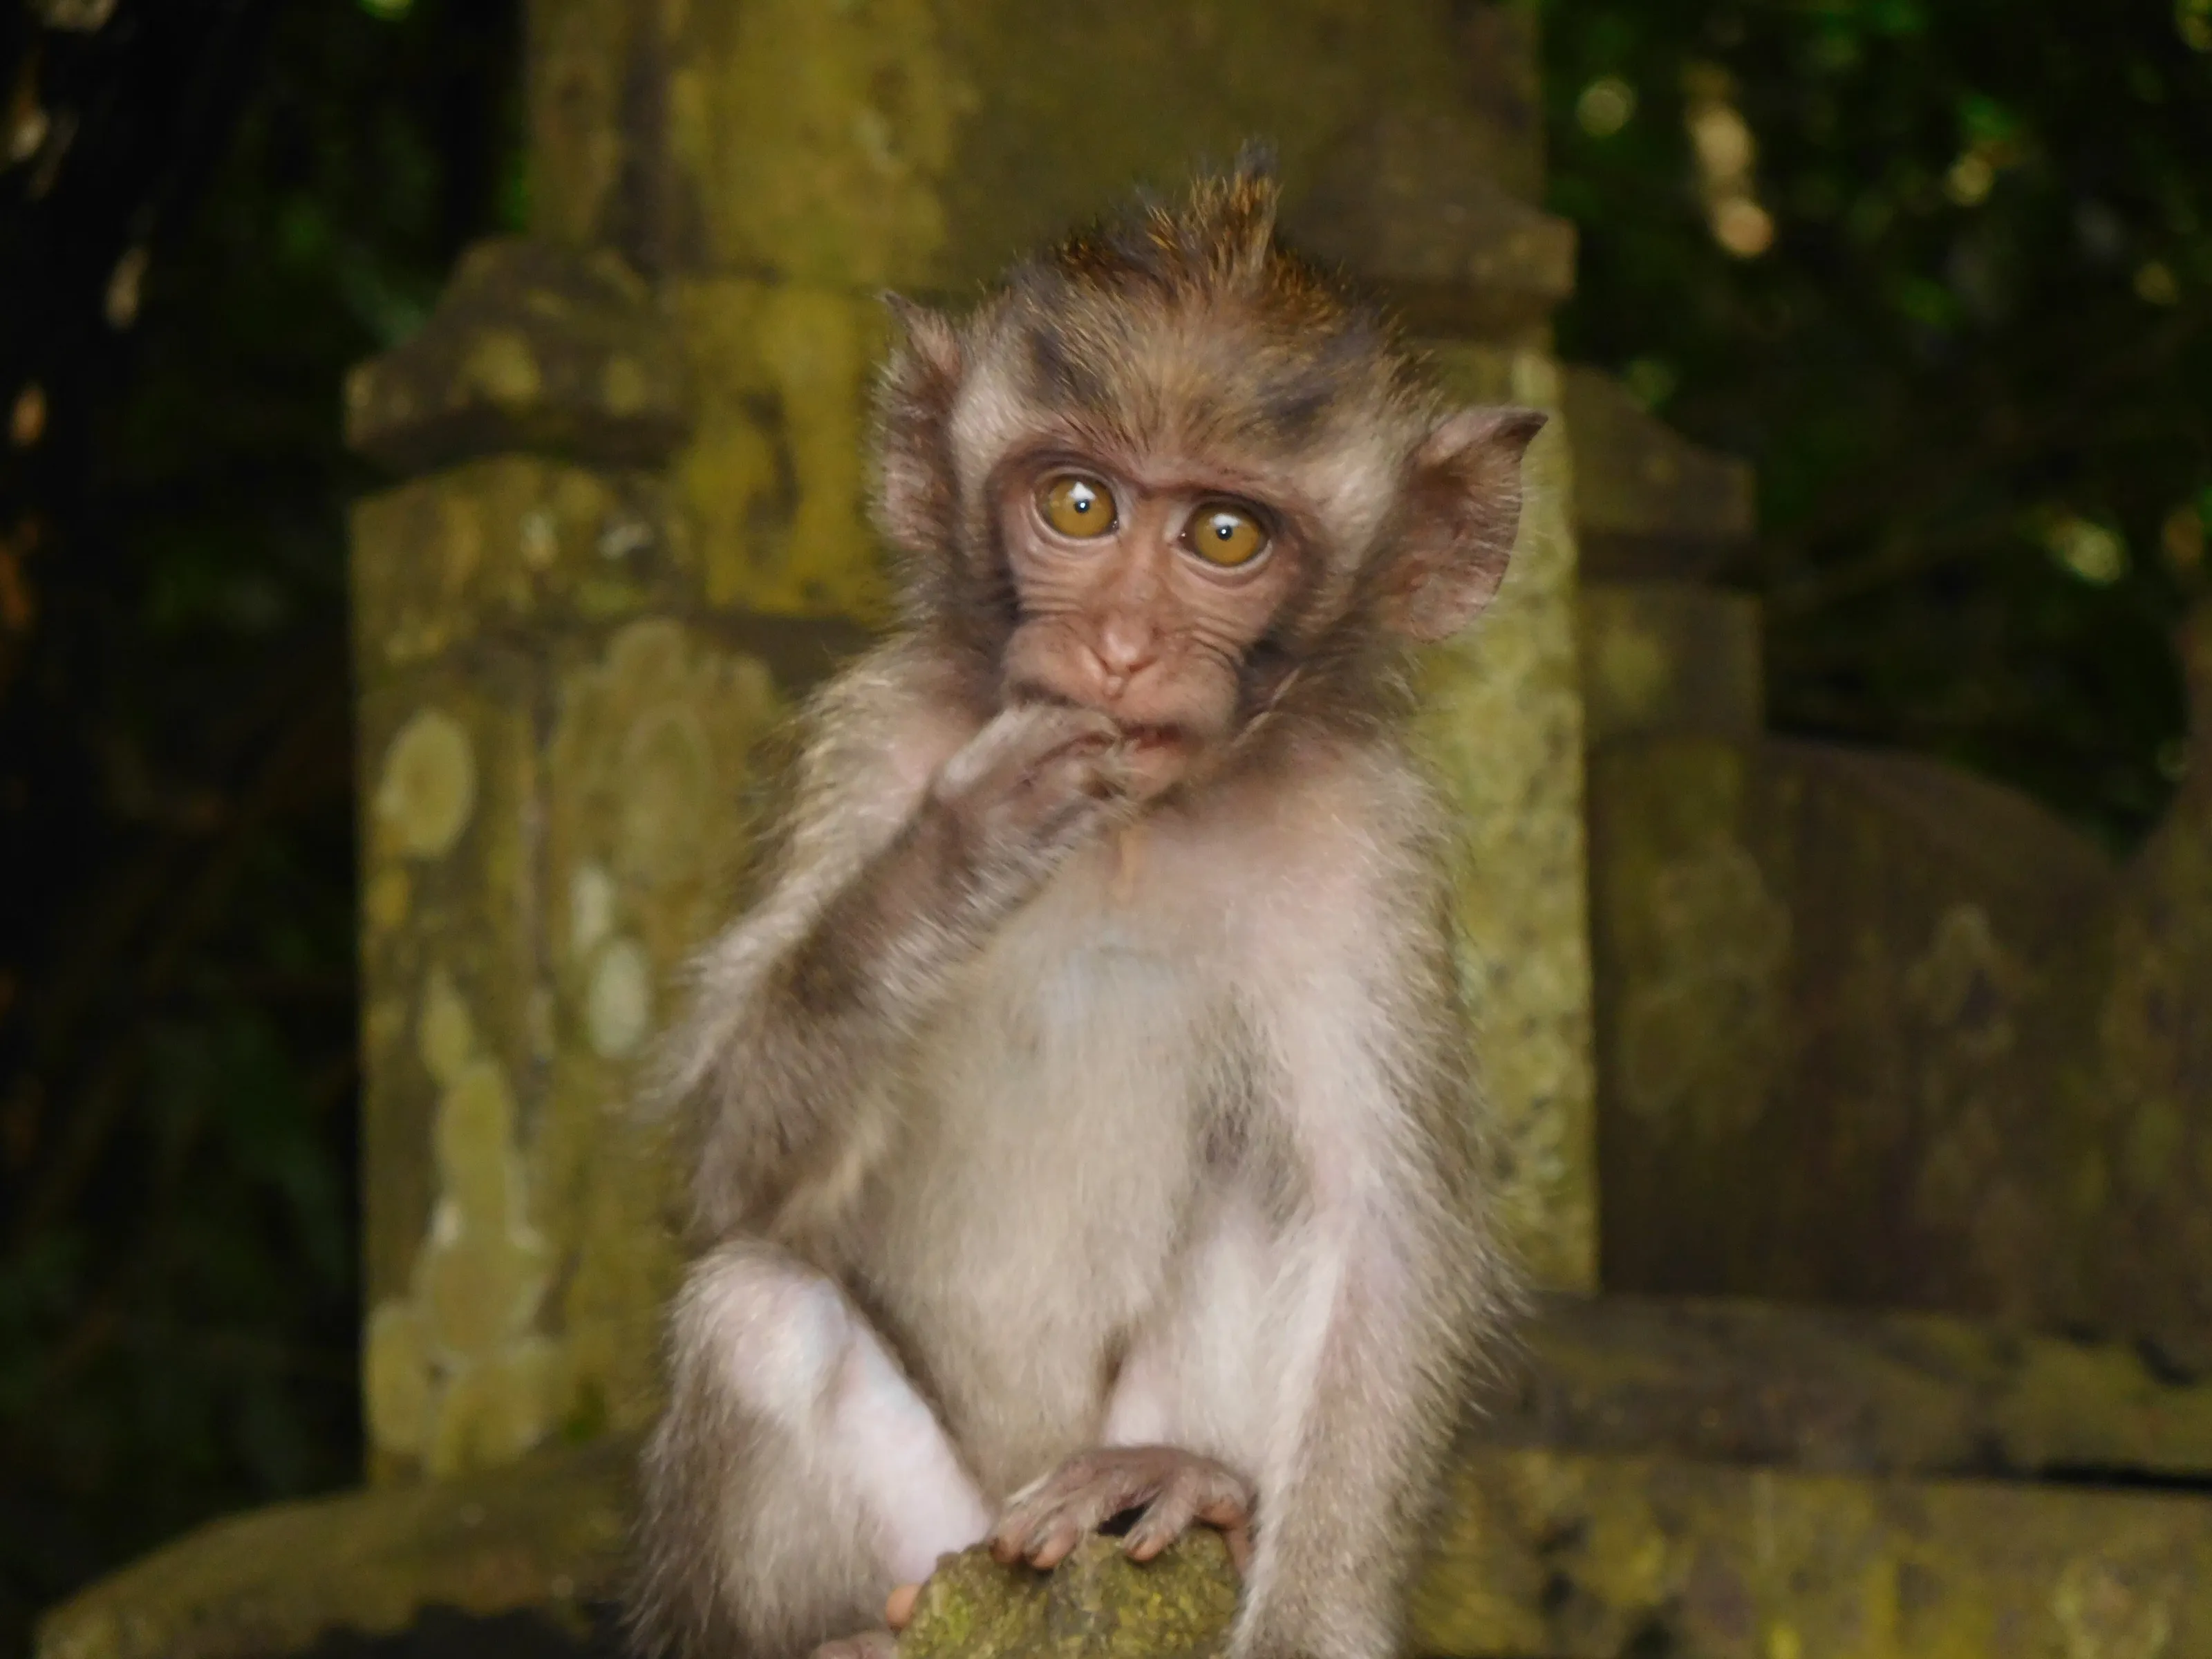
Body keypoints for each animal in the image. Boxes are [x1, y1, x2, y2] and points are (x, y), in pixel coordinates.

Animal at [629, 159, 1542, 1659]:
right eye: (1076, 506)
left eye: (1224, 534)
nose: (1119, 648)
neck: (1134, 830)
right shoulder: (873, 738)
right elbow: (735, 1167)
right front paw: (960, 852)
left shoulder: (1365, 840)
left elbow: (1378, 1232)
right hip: (944, 1535)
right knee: (755, 1312)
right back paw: (844, 1629)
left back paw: (1180, 1480)